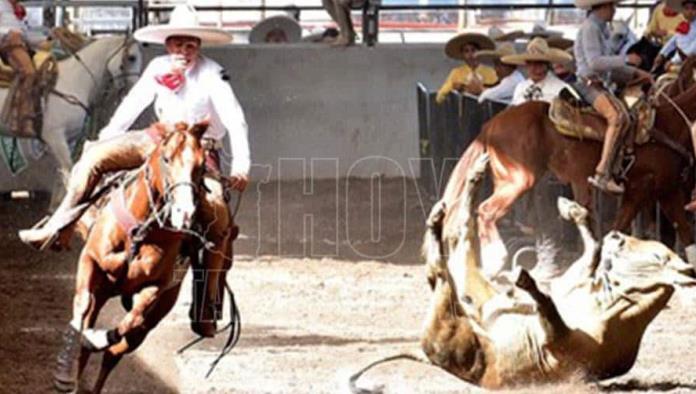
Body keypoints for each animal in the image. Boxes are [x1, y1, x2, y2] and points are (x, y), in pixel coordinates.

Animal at [0, 35, 143, 180]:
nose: (138, 89)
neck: (74, 81)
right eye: (132, 57)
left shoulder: (71, 138)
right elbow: (69, 172)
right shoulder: (55, 138)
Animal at [54, 121, 208, 392]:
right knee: (87, 337)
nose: (185, 212)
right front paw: (64, 372)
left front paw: (97, 338)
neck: (140, 232)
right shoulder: (90, 261)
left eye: (201, 165)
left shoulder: (157, 286)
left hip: (157, 311)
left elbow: (132, 320)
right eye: (166, 158)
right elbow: (81, 305)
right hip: (102, 292)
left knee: (115, 351)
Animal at [350, 154, 692, 390]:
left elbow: (549, 307)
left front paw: (526, 281)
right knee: (457, 240)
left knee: (443, 271)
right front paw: (572, 210)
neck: (608, 303)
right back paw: (469, 181)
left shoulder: (560, 344)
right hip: (470, 282)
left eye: (659, 255)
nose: (618, 236)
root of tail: (427, 355)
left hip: (449, 323)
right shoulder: (574, 281)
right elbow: (591, 250)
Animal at [446, 61, 696, 278]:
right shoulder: (638, 190)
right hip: (518, 179)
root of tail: (491, 125)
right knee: (486, 210)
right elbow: (617, 229)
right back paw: (495, 260)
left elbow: (685, 232)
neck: (667, 127)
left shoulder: (668, 191)